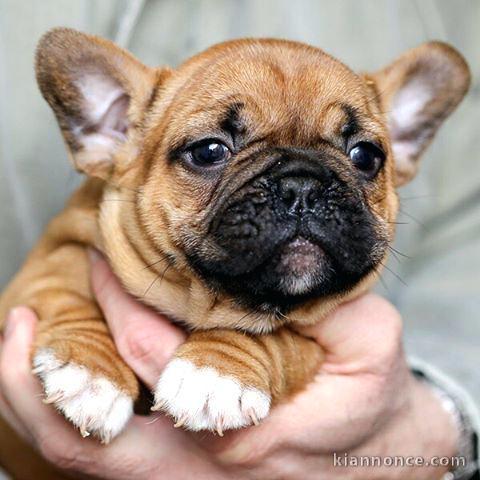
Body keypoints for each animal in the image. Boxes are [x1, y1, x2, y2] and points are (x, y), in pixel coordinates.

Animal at [0, 28, 468, 444]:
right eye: (209, 151)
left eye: (366, 156)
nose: (302, 185)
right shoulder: (44, 265)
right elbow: (66, 285)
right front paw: (92, 372)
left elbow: (273, 334)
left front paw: (215, 372)